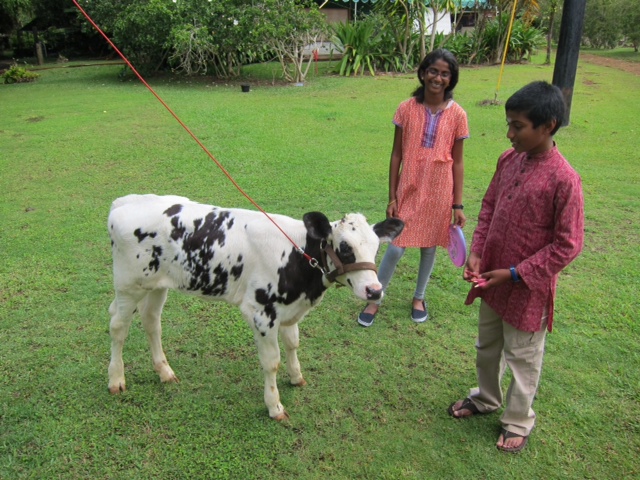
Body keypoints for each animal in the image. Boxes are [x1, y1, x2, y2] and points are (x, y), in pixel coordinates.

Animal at [107, 194, 404, 420]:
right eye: (345, 247)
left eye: (376, 248)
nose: (374, 290)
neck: (297, 256)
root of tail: (125, 201)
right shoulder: (261, 312)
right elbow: (271, 362)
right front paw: (275, 406)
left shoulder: (290, 310)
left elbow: (293, 344)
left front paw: (296, 377)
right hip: (128, 285)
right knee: (118, 327)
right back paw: (116, 380)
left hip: (157, 285)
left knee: (151, 321)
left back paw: (165, 372)